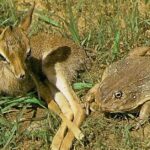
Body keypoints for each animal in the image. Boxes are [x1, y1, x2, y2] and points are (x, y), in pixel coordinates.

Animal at [0, 3, 87, 150]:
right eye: (2, 56)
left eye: (28, 52)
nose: (22, 75)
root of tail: (82, 53)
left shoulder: (38, 85)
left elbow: (53, 107)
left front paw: (79, 134)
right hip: (50, 82)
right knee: (68, 109)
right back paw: (56, 143)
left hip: (52, 72)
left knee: (78, 107)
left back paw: (67, 143)